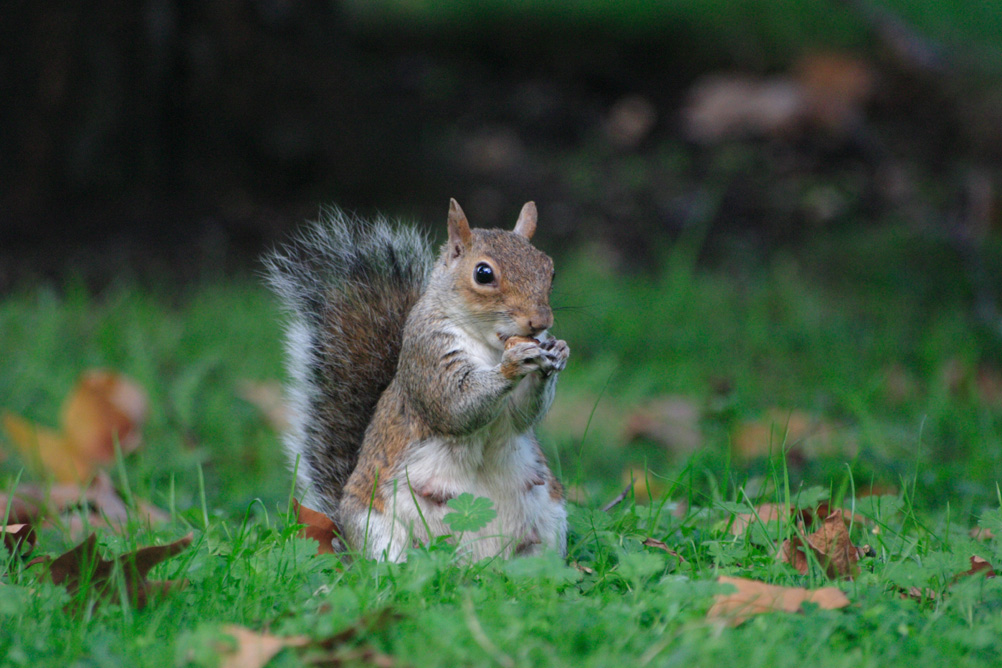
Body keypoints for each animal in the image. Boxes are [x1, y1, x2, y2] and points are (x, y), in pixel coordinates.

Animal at [264, 198, 570, 561]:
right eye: (483, 273)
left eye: (550, 269)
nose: (541, 322)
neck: (490, 345)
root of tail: (477, 565)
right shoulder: (427, 355)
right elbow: (454, 407)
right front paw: (514, 363)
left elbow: (523, 414)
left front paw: (558, 352)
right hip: (377, 529)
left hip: (551, 519)